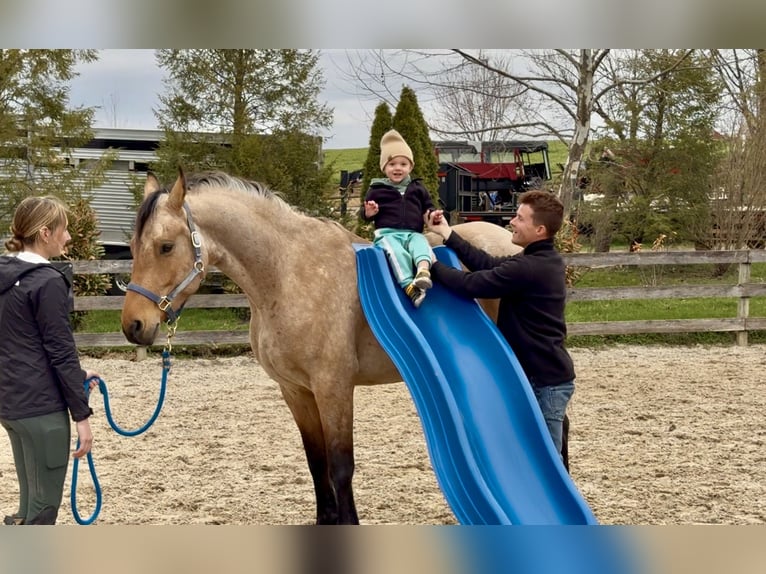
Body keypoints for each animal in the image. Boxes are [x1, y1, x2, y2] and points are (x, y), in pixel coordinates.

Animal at [120, 169, 522, 525]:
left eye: (165, 247)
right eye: (133, 247)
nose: (133, 325)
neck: (287, 275)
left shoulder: (334, 388)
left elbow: (340, 465)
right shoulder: (295, 390)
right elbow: (316, 462)